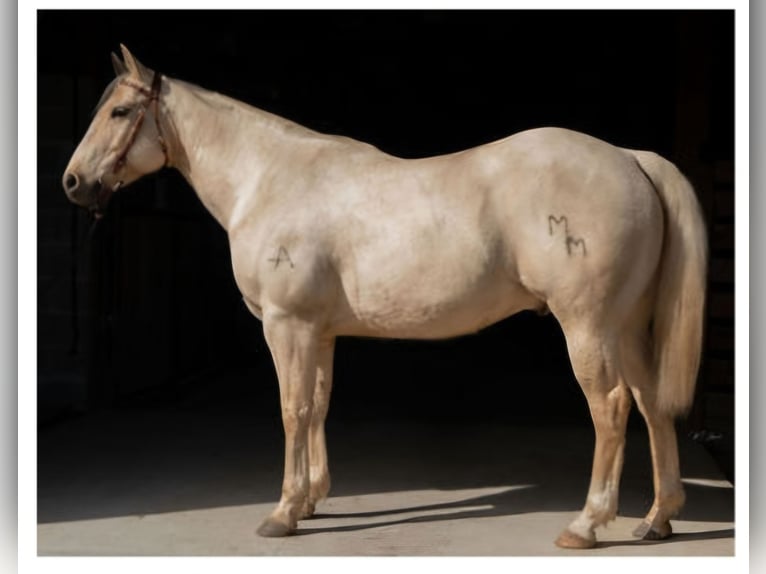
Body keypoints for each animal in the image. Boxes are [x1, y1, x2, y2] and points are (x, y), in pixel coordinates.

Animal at [62, 45, 707, 549]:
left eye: (121, 111)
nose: (72, 183)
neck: (268, 179)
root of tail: (630, 158)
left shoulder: (287, 325)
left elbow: (292, 410)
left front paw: (282, 512)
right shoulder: (318, 331)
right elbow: (317, 405)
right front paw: (311, 500)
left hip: (587, 325)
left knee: (612, 407)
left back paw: (587, 524)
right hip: (627, 326)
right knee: (651, 403)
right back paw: (656, 518)